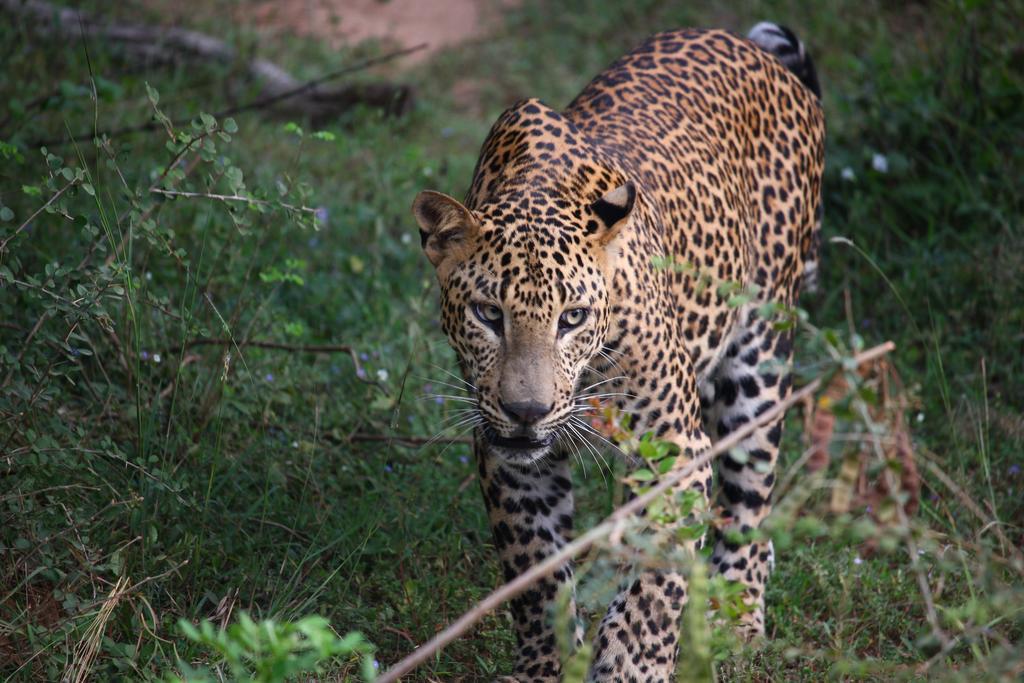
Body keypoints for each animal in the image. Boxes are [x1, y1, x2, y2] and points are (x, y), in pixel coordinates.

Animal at [411, 21, 819, 683]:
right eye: (489, 314)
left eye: (572, 318)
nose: (527, 412)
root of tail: (750, 47)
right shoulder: (508, 457)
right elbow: (537, 573)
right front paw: (547, 665)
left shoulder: (674, 447)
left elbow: (655, 585)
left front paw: (632, 665)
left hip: (759, 355)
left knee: (750, 498)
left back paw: (735, 618)